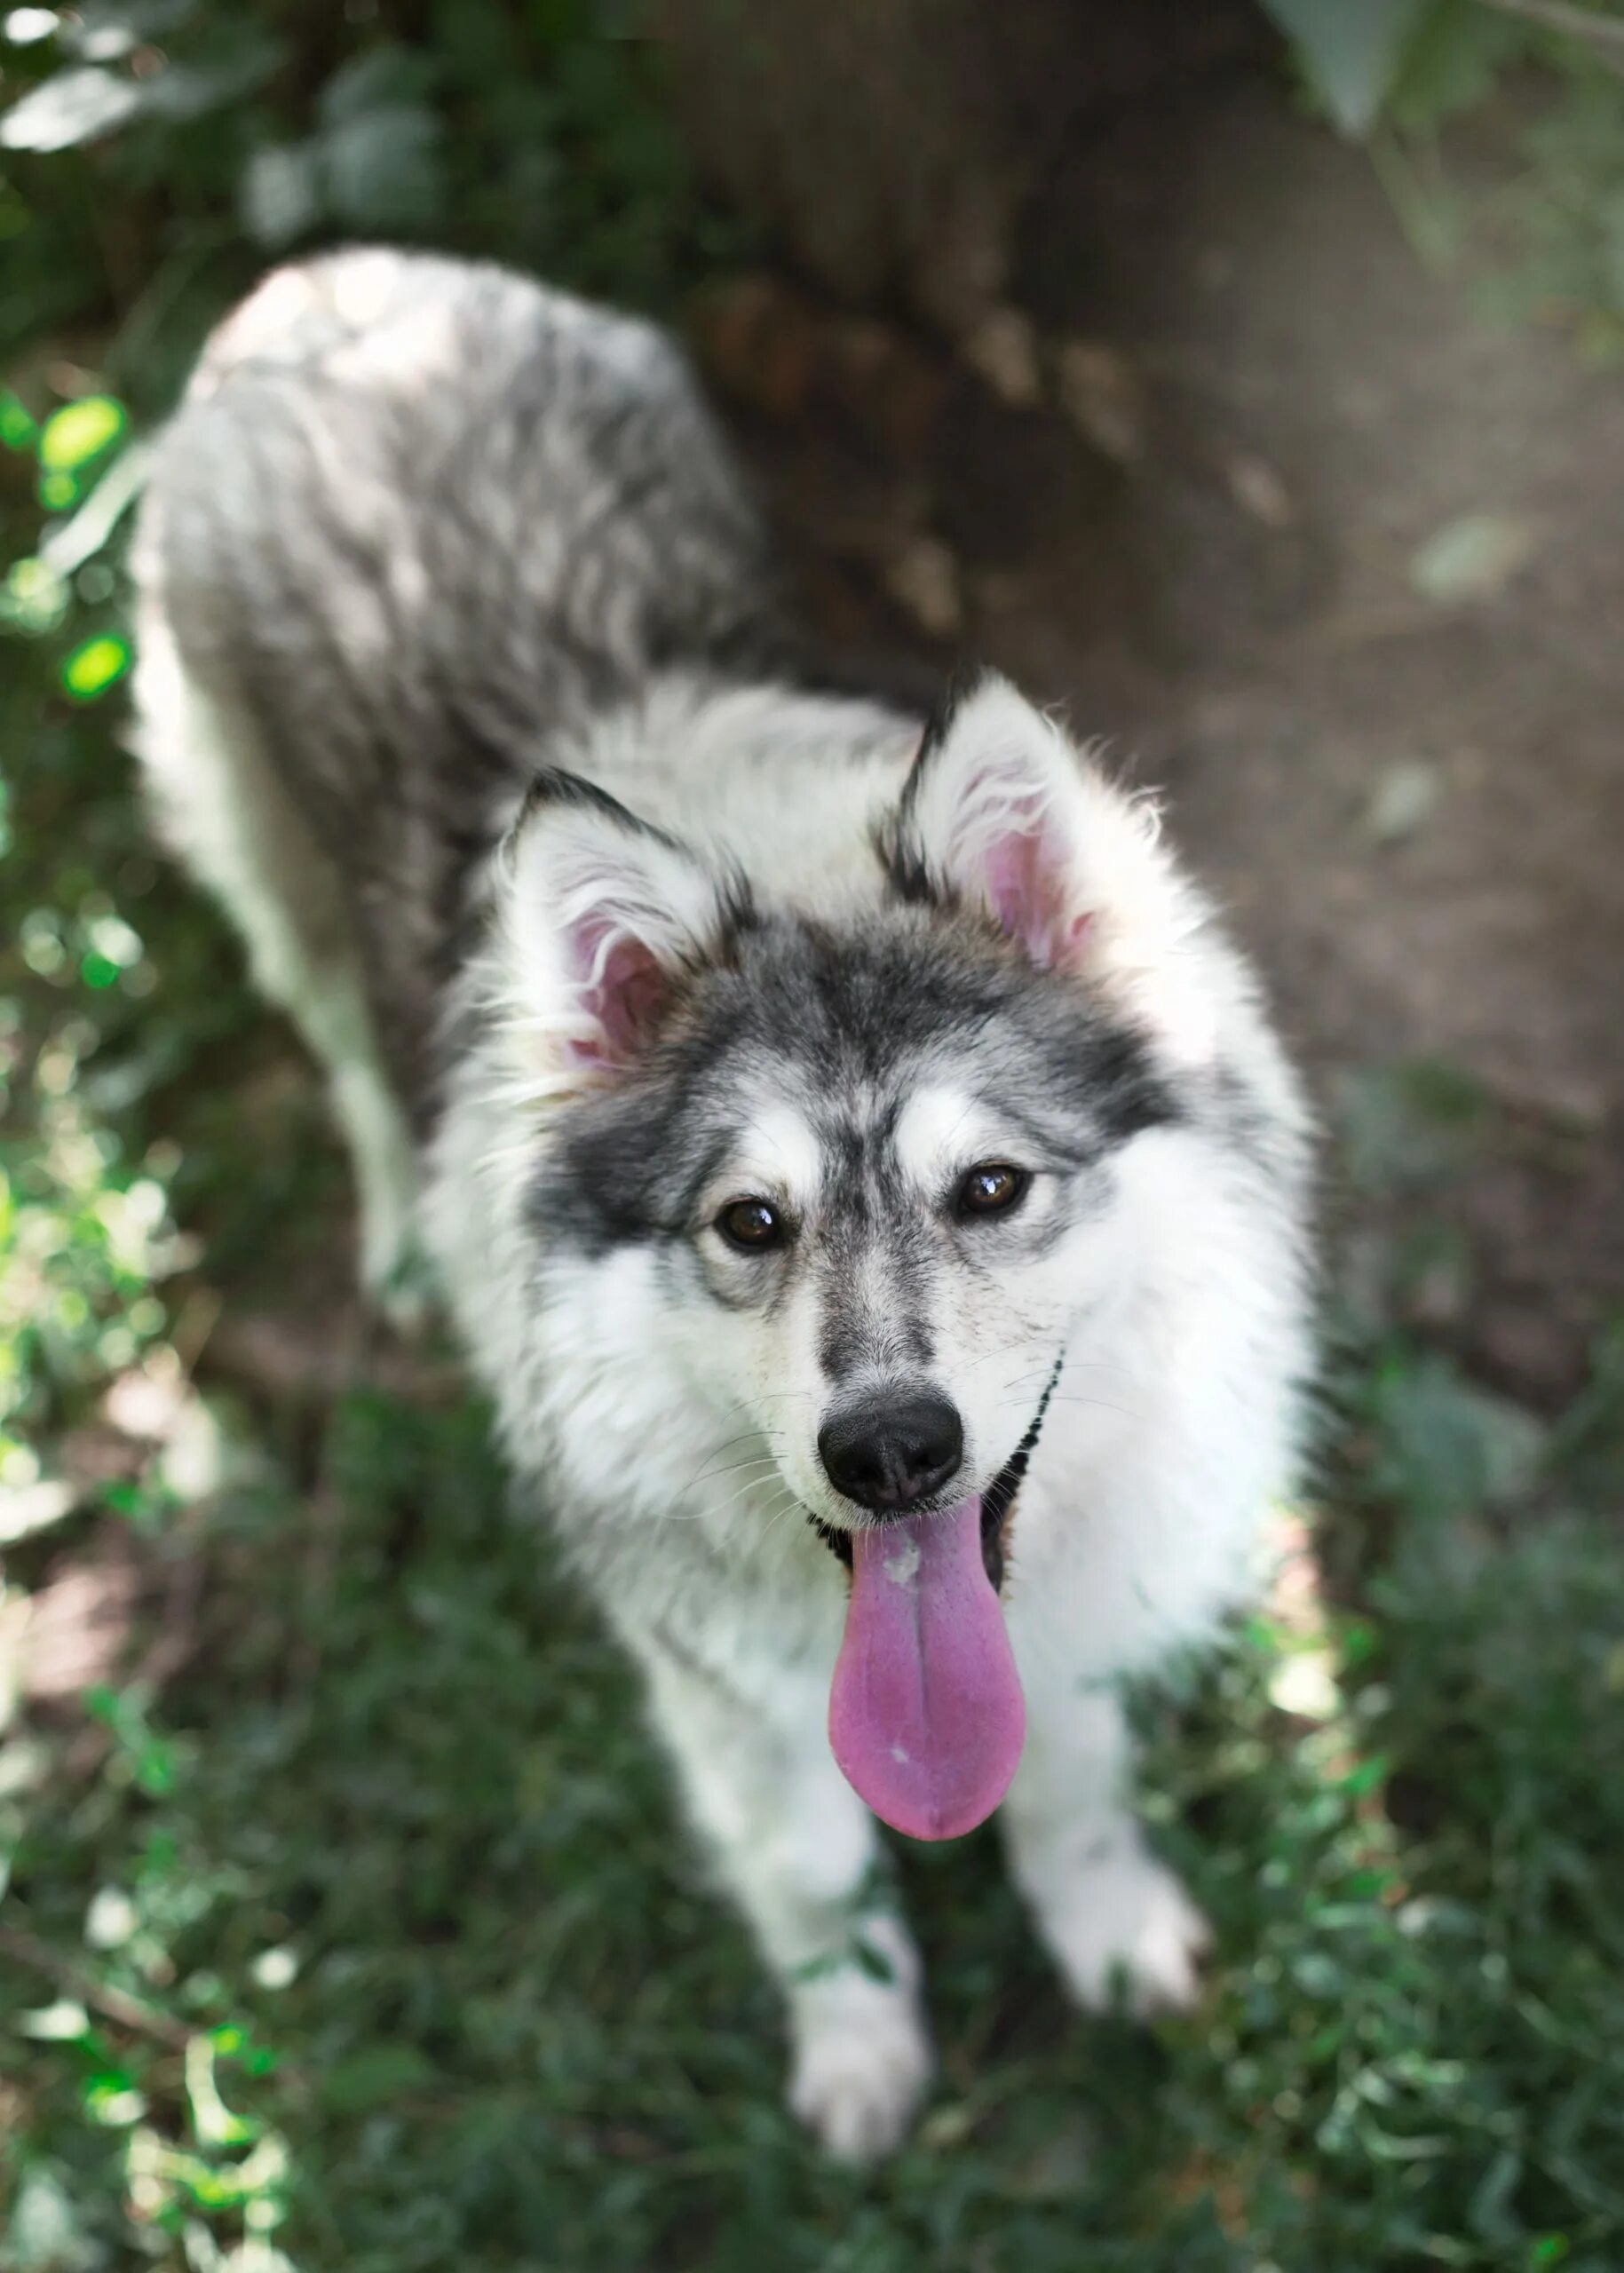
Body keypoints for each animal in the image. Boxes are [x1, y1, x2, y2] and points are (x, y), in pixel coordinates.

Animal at [132, 249, 1310, 2164]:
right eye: (746, 1225)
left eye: (988, 1188)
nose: (891, 1450)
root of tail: (336, 279)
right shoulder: (719, 1696)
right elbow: (815, 1880)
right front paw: (856, 2060)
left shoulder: (1061, 1623)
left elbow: (1068, 1783)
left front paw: (1109, 1931)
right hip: (258, 870)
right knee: (344, 1051)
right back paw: (397, 1242)